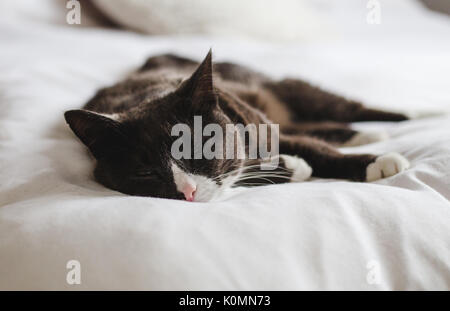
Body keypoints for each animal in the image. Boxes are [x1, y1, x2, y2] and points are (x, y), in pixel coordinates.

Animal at [64, 49, 412, 202]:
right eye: (144, 173)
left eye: (197, 150)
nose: (187, 192)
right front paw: (292, 167)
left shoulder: (258, 123)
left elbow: (309, 146)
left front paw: (376, 162)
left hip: (289, 90)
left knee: (345, 108)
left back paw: (405, 117)